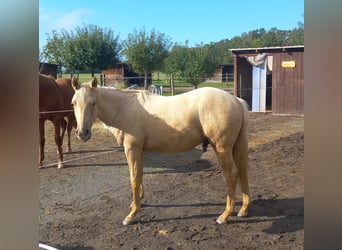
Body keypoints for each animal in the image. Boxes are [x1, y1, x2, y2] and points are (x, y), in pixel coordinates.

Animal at [71, 75, 250, 225]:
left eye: (93, 102)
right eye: (73, 103)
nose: (82, 133)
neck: (124, 108)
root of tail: (235, 100)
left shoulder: (132, 149)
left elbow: (134, 178)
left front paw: (132, 214)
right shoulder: (139, 151)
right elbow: (139, 175)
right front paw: (137, 201)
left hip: (222, 149)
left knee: (232, 174)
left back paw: (224, 215)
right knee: (242, 171)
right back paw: (243, 210)